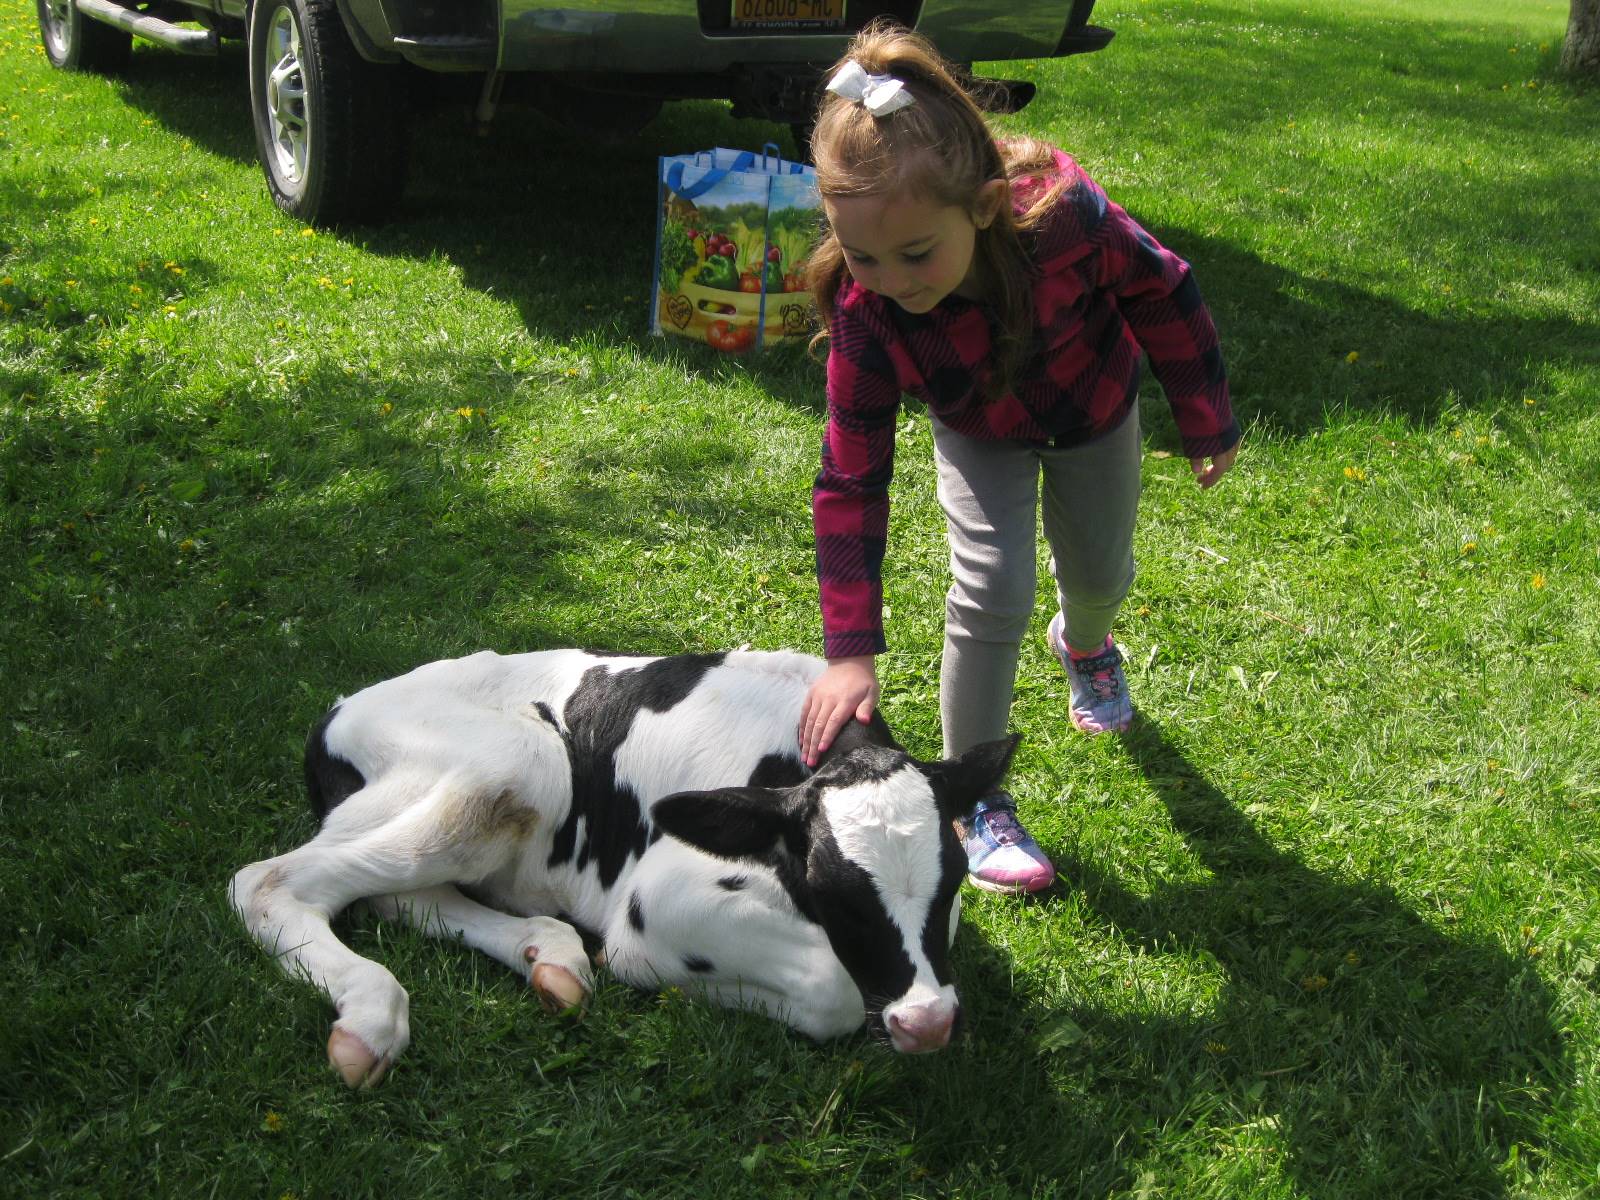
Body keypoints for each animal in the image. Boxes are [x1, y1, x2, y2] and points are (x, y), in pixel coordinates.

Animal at [232, 649, 1017, 1088]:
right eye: (836, 893)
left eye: (951, 881)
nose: (927, 1024)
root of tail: (337, 709)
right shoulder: (658, 900)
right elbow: (833, 992)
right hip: (521, 760)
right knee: (268, 881)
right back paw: (370, 1017)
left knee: (400, 895)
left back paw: (550, 957)